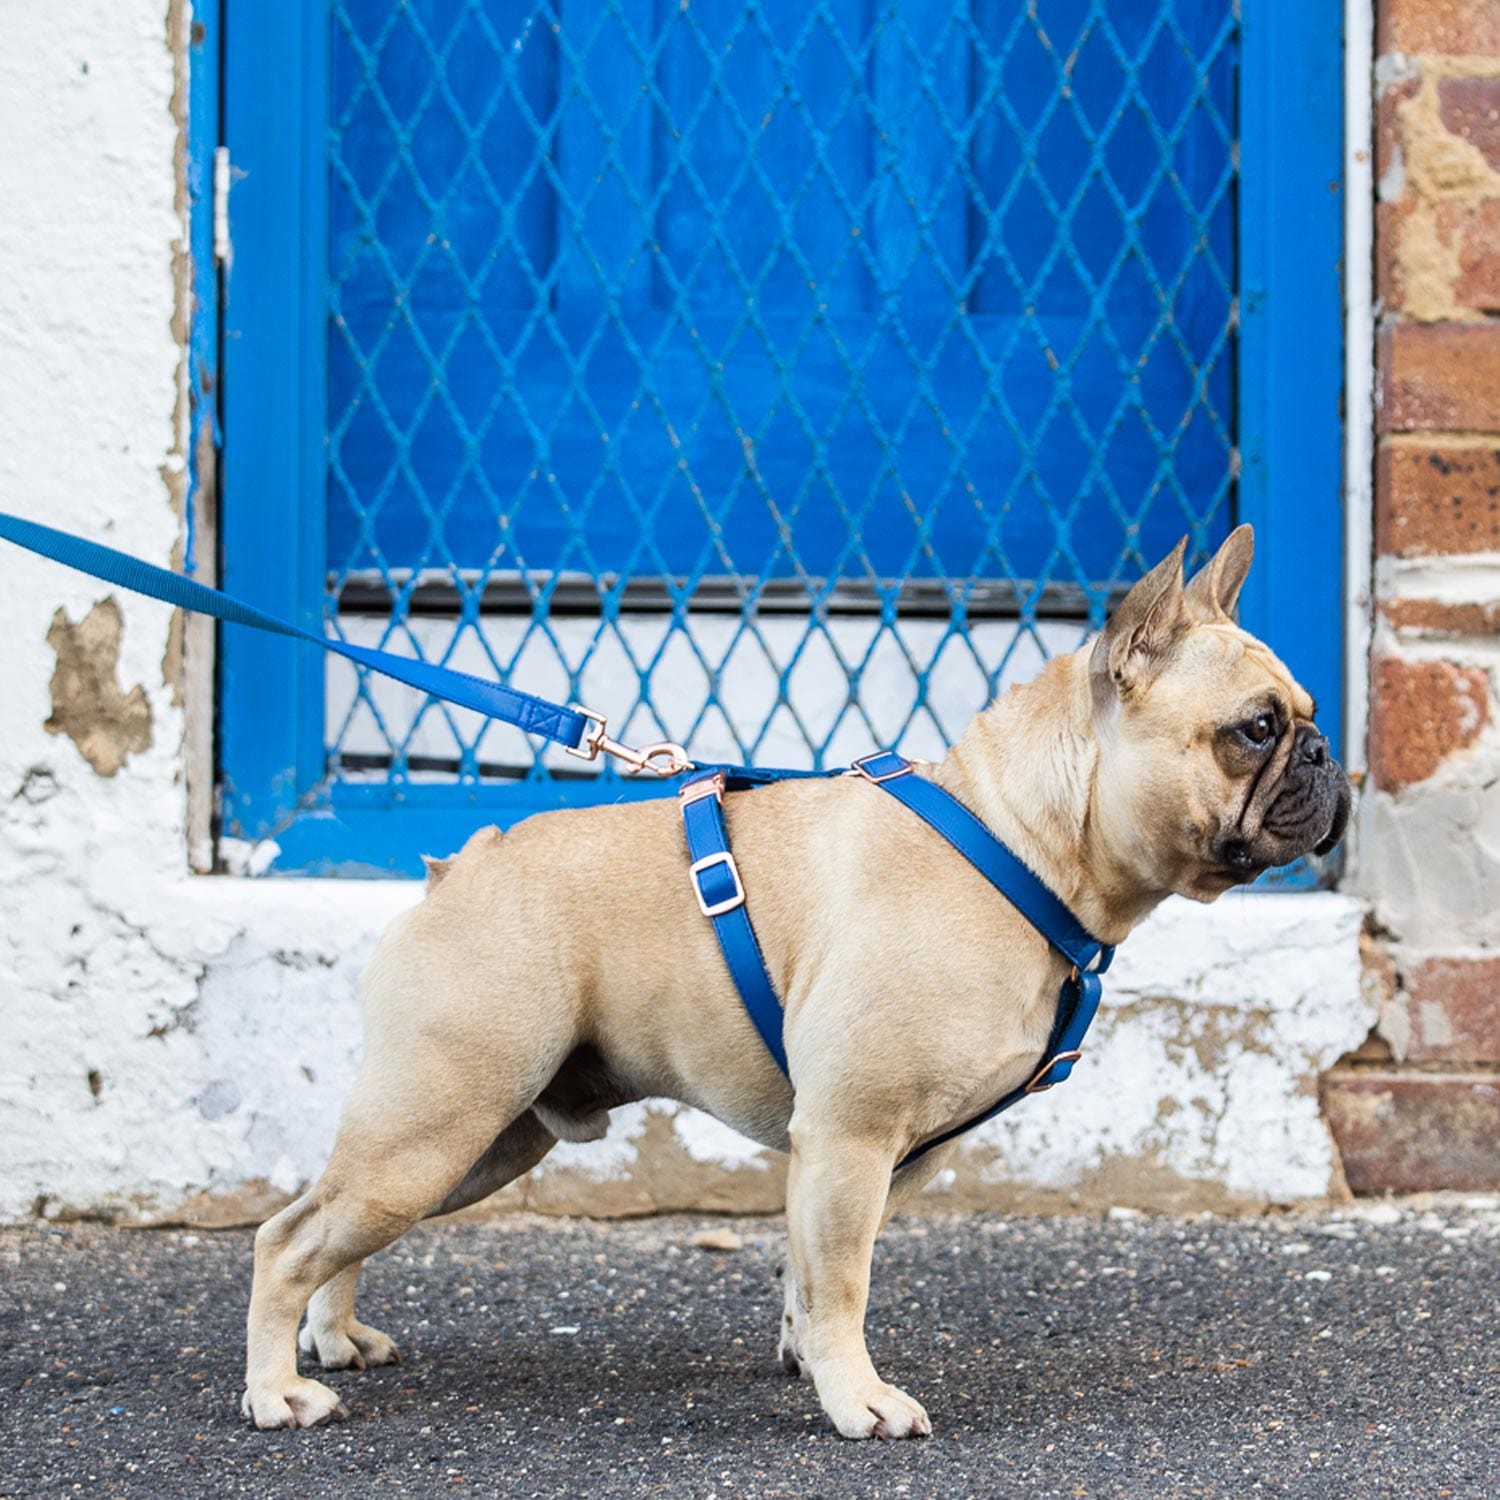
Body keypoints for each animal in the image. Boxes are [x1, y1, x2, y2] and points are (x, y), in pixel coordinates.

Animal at [243, 531, 1350, 1440]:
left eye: (1305, 720)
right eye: (1254, 730)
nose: (1327, 755)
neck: (1021, 844)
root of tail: (456, 869)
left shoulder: (871, 1159)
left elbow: (814, 1273)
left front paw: (813, 1363)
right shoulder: (853, 1136)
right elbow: (845, 1278)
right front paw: (859, 1398)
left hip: (477, 1139)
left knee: (333, 1226)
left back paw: (333, 1337)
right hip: (439, 1122)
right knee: (288, 1237)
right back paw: (277, 1390)